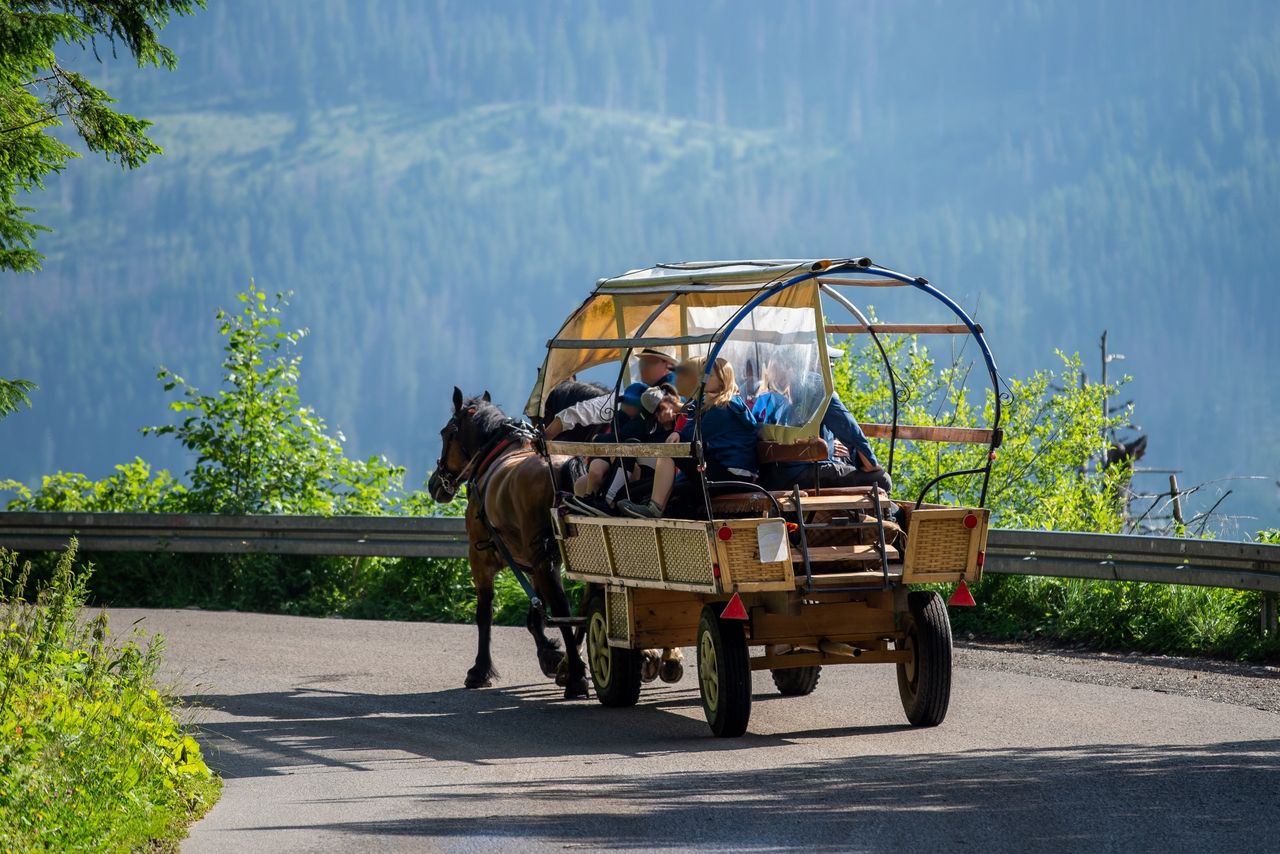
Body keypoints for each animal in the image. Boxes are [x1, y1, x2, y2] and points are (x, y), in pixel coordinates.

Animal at [427, 386, 591, 701]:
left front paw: (479, 670)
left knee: (563, 609)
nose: (435, 485)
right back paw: (572, 665)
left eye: (445, 433)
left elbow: (485, 613)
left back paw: (576, 676)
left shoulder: (481, 557)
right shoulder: (531, 564)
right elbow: (535, 615)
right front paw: (549, 656)